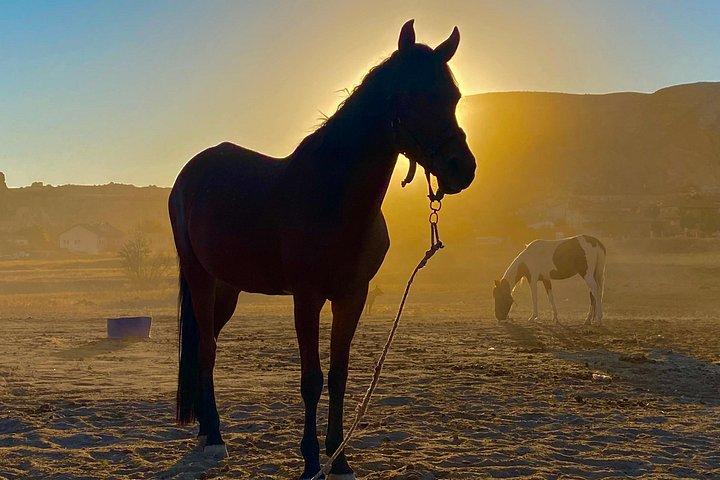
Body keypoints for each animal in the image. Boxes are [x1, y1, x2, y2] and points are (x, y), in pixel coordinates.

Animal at [169, 20, 476, 480]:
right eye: (410, 96)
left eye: (453, 97)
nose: (462, 168)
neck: (334, 197)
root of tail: (191, 173)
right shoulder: (307, 297)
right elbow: (311, 379)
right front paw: (312, 459)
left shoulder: (352, 297)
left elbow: (338, 375)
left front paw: (340, 458)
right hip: (200, 278)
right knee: (205, 347)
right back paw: (216, 437)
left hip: (229, 287)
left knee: (210, 346)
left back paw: (207, 429)